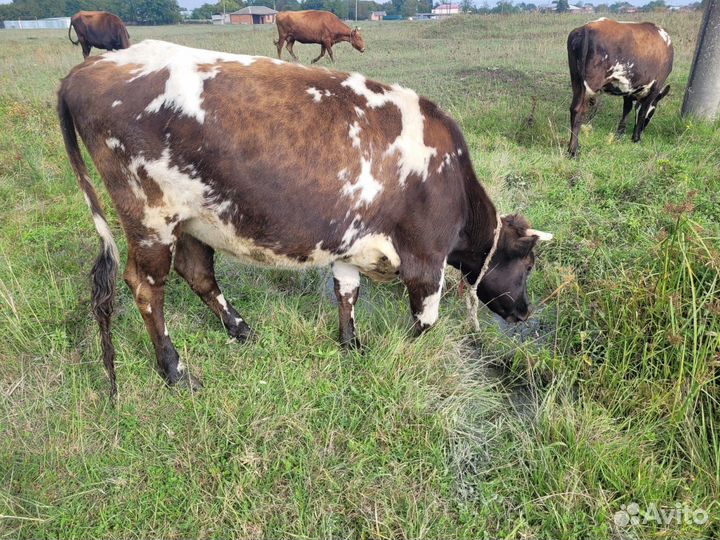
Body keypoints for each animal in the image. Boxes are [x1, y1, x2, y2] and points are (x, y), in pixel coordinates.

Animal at [57, 40, 552, 396]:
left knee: (197, 272)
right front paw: (400, 351)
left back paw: (242, 330)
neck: (451, 181)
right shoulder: (425, 258)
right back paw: (175, 371)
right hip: (150, 216)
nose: (526, 311)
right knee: (146, 287)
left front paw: (352, 346)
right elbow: (424, 322)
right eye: (528, 265)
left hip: (191, 218)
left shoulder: (352, 244)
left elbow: (347, 294)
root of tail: (90, 67)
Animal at [568, 16, 676, 156]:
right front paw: (636, 138)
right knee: (579, 110)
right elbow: (642, 112)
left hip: (576, 80)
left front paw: (620, 133)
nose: (643, 130)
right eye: (653, 111)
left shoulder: (628, 87)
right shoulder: (654, 88)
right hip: (590, 85)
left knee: (573, 108)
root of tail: (587, 28)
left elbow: (627, 109)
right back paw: (574, 150)